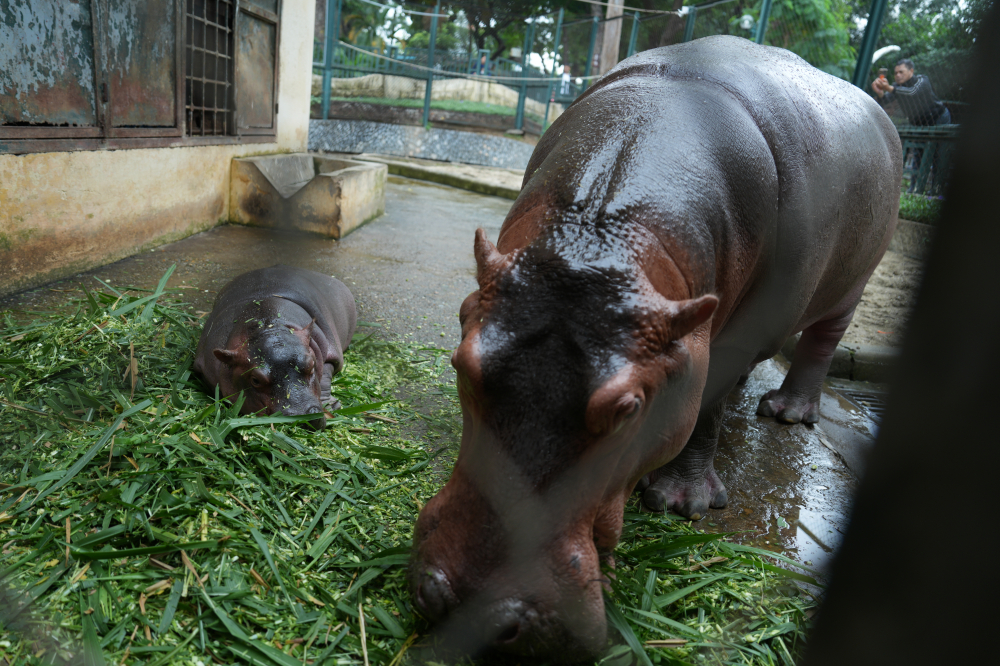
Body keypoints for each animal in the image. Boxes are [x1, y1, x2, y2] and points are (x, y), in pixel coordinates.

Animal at [410, 36, 904, 660]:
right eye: (462, 365)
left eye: (630, 409)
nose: (478, 616)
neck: (598, 232)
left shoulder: (733, 338)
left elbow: (707, 405)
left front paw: (680, 502)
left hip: (851, 286)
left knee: (818, 345)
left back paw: (787, 413)